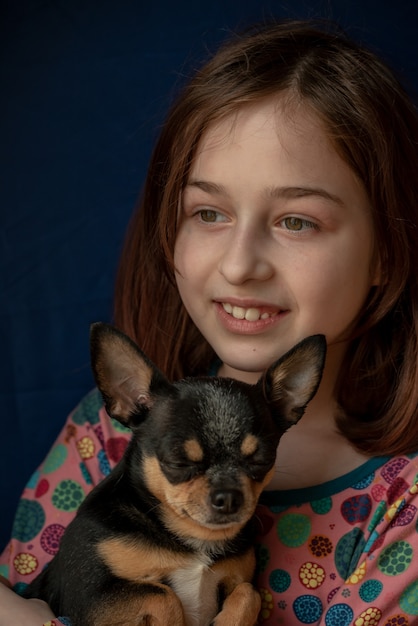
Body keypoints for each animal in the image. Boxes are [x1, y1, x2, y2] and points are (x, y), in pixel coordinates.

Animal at [23, 324, 326, 620]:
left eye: (261, 461)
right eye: (178, 463)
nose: (229, 497)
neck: (193, 541)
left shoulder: (238, 579)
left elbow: (248, 594)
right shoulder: (88, 598)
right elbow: (162, 594)